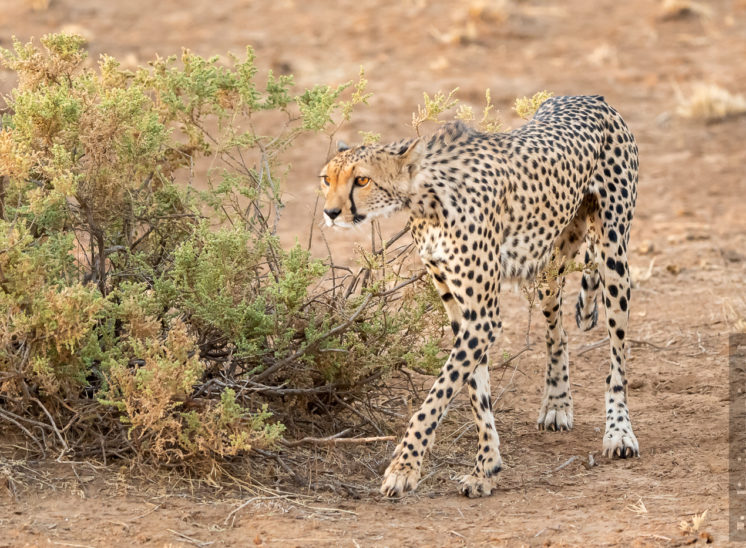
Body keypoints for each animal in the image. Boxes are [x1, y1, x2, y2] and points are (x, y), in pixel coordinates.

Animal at [316, 94, 636, 496]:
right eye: (327, 179)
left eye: (362, 180)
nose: (330, 212)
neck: (426, 198)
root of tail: (589, 97)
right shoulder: (461, 311)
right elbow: (475, 394)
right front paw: (486, 468)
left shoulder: (482, 317)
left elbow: (435, 397)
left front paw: (404, 468)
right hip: (549, 265)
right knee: (557, 334)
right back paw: (557, 403)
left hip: (614, 256)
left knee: (617, 357)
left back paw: (619, 432)